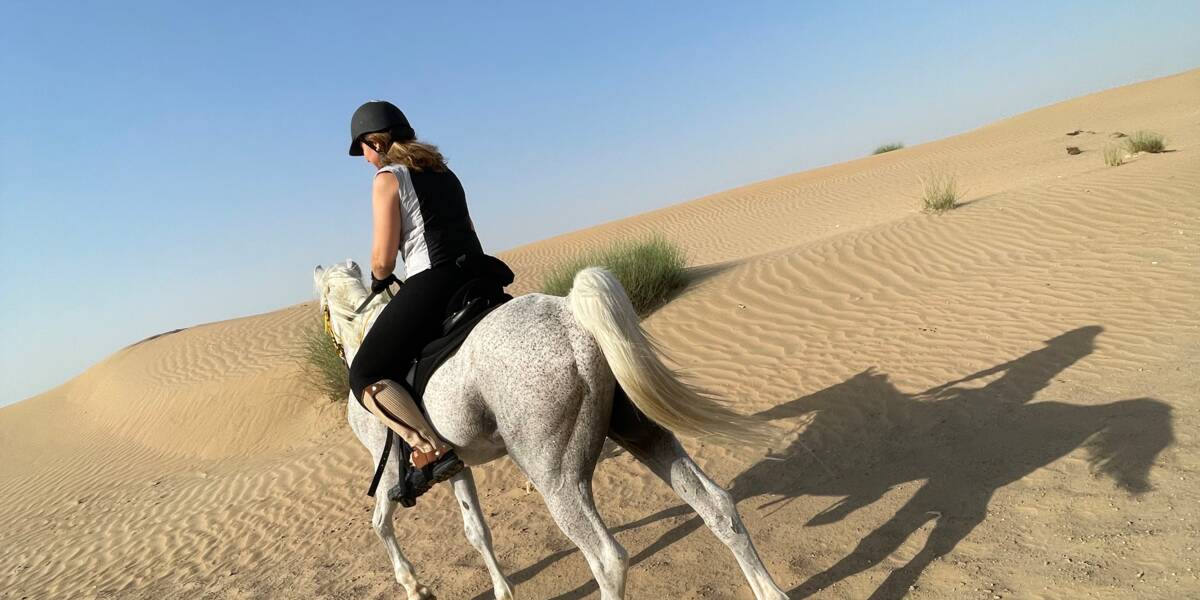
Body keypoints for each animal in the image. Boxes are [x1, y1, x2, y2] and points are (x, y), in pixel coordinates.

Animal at [313, 260, 788, 600]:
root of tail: (570, 315)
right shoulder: (455, 465)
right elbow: (475, 531)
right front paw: (502, 591)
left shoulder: (389, 474)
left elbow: (380, 523)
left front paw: (415, 587)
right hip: (642, 435)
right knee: (716, 506)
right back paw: (769, 591)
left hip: (556, 477)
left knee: (607, 559)